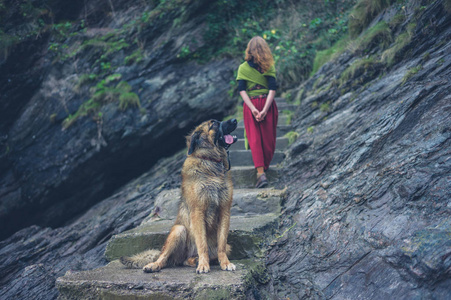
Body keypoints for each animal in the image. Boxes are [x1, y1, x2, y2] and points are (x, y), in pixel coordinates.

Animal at [120, 118, 240, 274]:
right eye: (213, 123)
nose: (234, 120)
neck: (210, 160)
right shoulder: (197, 212)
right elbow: (202, 244)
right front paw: (203, 265)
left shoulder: (224, 211)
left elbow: (221, 244)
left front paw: (225, 263)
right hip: (178, 230)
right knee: (164, 257)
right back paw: (155, 265)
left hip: (224, 245)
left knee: (187, 259)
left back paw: (195, 260)